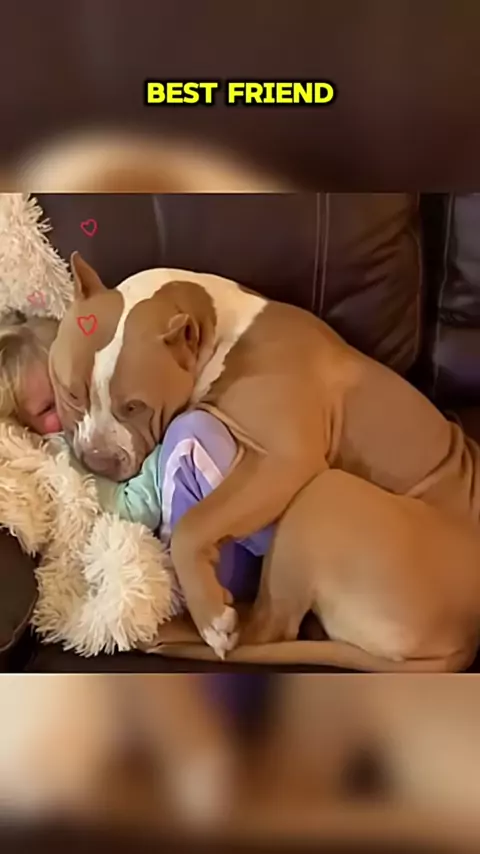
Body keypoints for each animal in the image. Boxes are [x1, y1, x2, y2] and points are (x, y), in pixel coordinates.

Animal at [49, 252, 480, 666]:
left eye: (135, 407)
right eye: (71, 394)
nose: (98, 460)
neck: (218, 332)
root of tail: (465, 639)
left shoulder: (284, 459)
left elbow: (193, 525)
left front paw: (212, 617)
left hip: (324, 496)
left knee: (269, 630)